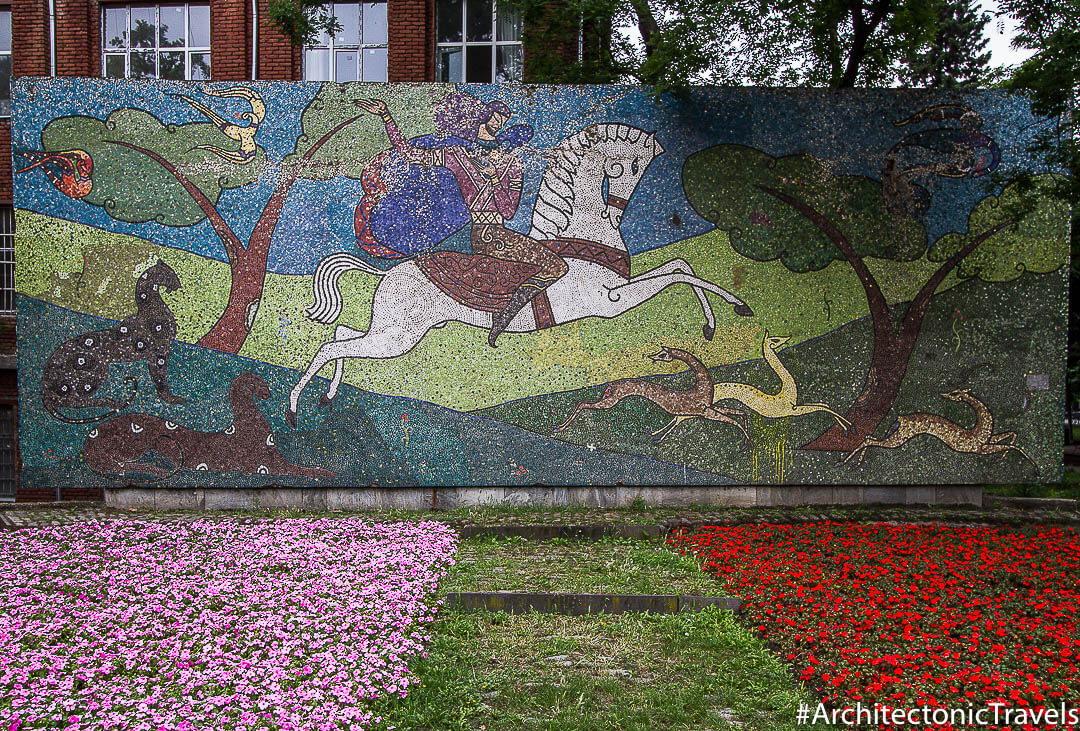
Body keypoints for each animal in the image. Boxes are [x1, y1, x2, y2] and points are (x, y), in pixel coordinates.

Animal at [41, 261, 185, 421]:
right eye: (172, 274)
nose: (179, 285)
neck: (152, 309)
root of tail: (44, 390)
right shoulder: (159, 355)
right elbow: (161, 384)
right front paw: (175, 400)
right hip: (93, 375)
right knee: (75, 401)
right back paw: (111, 402)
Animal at [291, 123, 756, 425]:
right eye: (630, 167)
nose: (616, 211)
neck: (581, 235)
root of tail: (387, 272)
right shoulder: (611, 300)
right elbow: (678, 276)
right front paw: (736, 307)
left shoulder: (620, 289)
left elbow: (680, 266)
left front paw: (715, 320)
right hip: (398, 335)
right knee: (330, 346)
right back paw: (296, 407)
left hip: (394, 329)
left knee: (341, 335)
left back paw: (328, 395)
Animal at [552, 347, 747, 444]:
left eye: (663, 354)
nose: (652, 356)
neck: (703, 387)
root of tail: (610, 385)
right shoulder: (705, 411)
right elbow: (734, 420)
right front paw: (747, 444)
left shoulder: (707, 409)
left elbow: (740, 414)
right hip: (610, 401)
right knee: (582, 404)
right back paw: (559, 428)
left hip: (607, 399)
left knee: (581, 403)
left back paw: (558, 427)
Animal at [842, 384, 1036, 470]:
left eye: (955, 393)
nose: (944, 394)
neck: (981, 429)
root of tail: (899, 419)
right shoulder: (979, 448)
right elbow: (1014, 446)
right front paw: (1034, 467)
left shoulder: (986, 443)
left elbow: (1012, 435)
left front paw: (1002, 458)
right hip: (898, 439)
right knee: (869, 441)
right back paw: (845, 462)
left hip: (894, 435)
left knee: (869, 438)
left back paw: (850, 462)